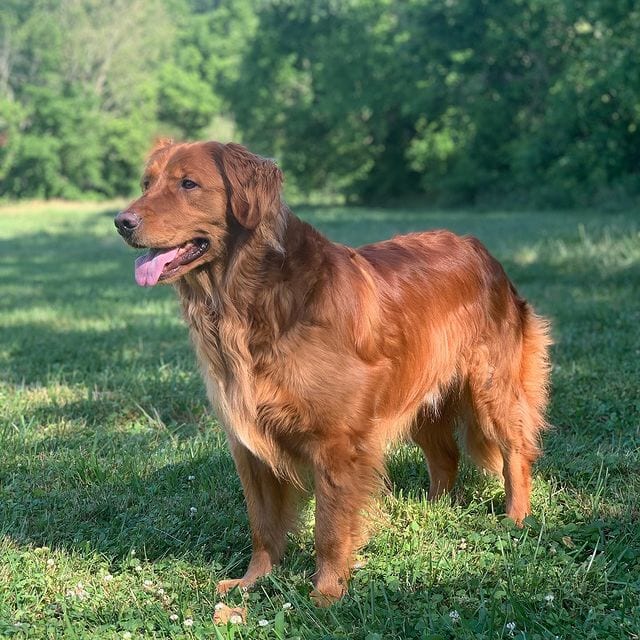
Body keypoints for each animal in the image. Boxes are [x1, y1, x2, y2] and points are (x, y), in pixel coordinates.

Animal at [114, 140, 552, 604]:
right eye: (146, 183)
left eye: (188, 184)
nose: (121, 222)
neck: (247, 302)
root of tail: (479, 248)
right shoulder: (249, 442)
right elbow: (262, 526)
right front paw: (252, 582)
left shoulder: (336, 442)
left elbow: (328, 527)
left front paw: (325, 594)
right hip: (417, 397)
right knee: (446, 457)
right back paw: (432, 511)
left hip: (491, 388)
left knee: (515, 452)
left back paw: (516, 518)